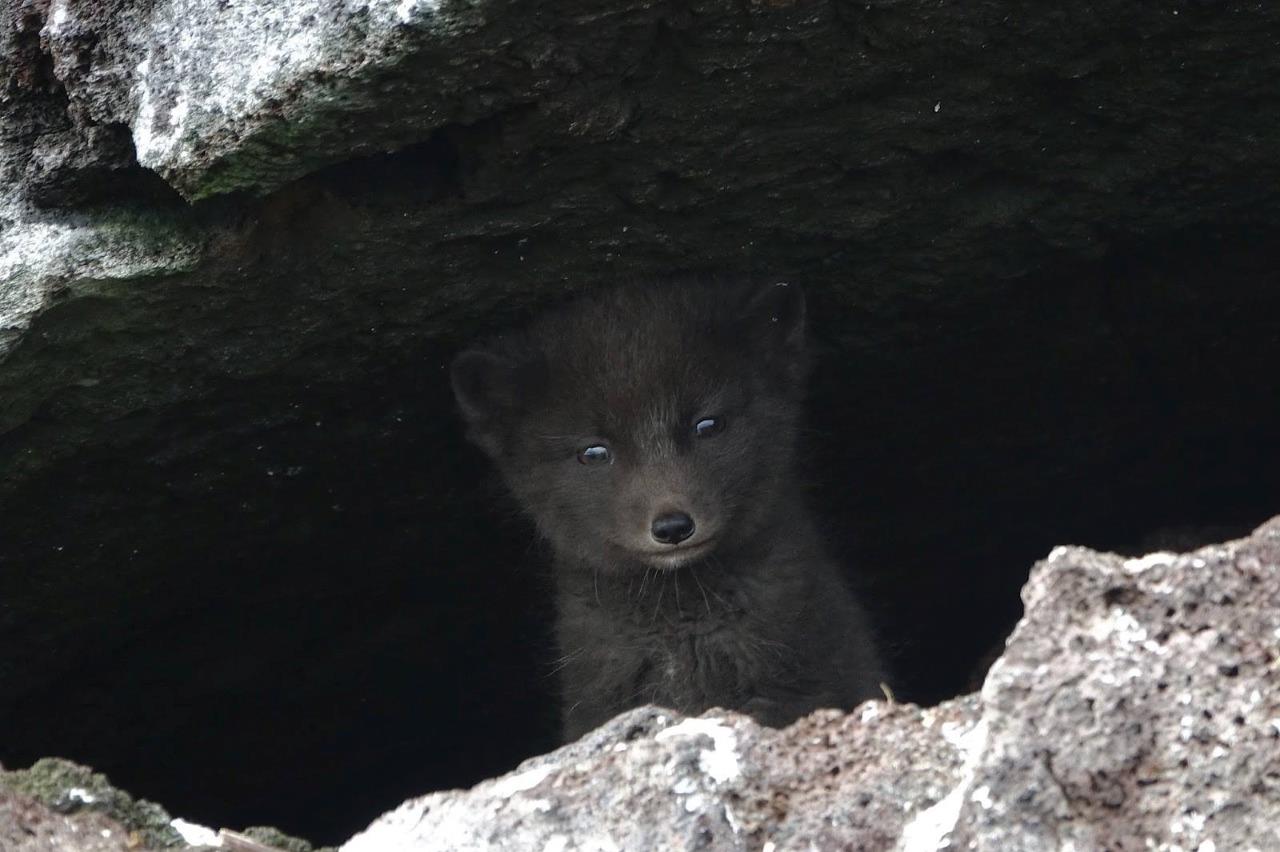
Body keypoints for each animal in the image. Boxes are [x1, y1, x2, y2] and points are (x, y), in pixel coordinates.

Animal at [451, 281, 884, 742]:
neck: (680, 629)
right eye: (593, 452)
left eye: (708, 425)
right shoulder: (596, 702)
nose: (673, 526)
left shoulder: (799, 685)